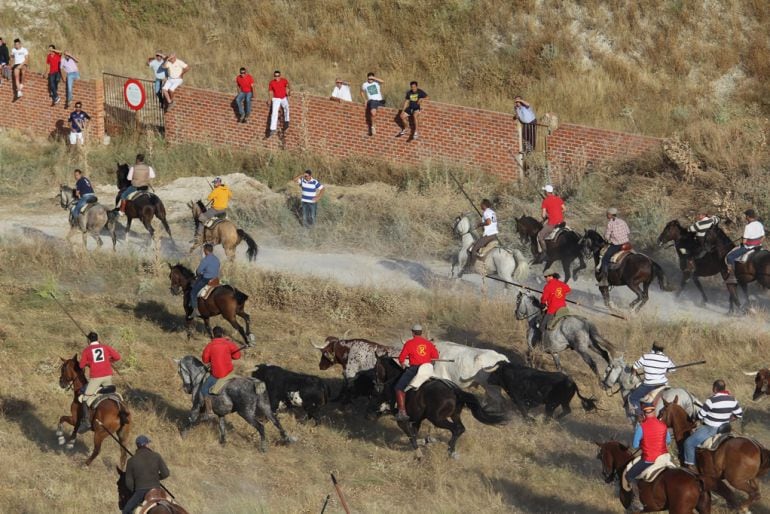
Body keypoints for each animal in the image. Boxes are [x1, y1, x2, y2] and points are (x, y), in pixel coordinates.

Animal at [372, 354, 504, 458]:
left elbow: (411, 436)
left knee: (455, 429)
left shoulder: (402, 421)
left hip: (437, 419)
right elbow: (414, 434)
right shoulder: (417, 419)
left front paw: (419, 453)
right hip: (454, 415)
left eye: (375, 369)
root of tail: (456, 391)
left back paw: (450, 449)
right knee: (460, 428)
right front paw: (424, 442)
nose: (377, 385)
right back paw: (451, 450)